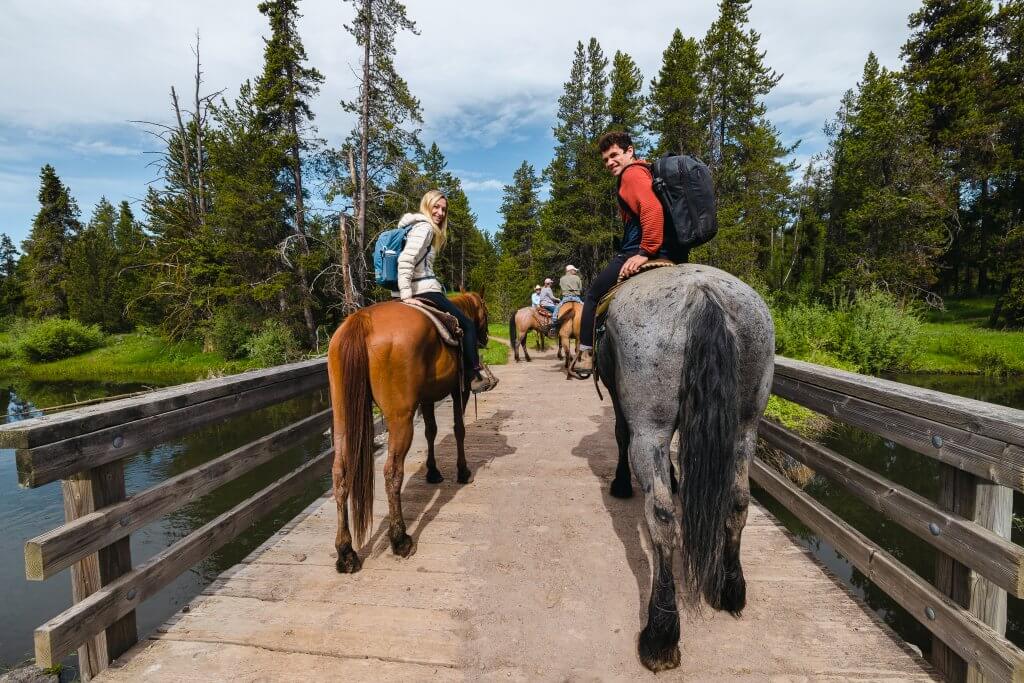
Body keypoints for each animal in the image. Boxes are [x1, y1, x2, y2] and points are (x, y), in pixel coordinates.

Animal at [325, 290, 489, 573]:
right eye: (485, 314)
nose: (486, 337)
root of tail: (361, 320)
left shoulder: (427, 397)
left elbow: (432, 431)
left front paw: (433, 472)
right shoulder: (460, 389)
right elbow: (458, 429)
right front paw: (463, 471)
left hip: (344, 419)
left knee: (340, 473)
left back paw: (346, 553)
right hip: (400, 418)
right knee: (392, 471)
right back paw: (400, 539)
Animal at [598, 264, 770, 671]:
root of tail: (703, 292)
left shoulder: (624, 404)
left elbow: (620, 432)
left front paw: (621, 484)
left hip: (651, 426)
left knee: (662, 517)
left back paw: (660, 634)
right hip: (746, 425)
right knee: (738, 501)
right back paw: (730, 589)